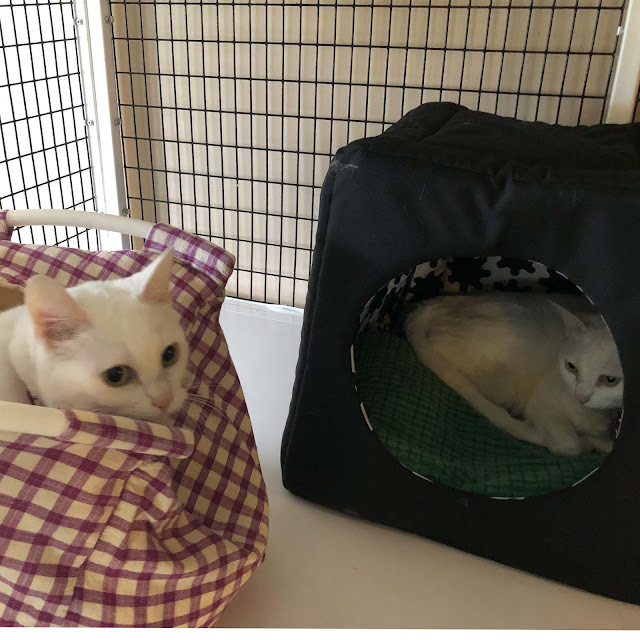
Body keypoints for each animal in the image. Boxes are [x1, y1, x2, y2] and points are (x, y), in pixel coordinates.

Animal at [404, 292, 623, 456]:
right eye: (571, 367)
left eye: (610, 380)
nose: (580, 397)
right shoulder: (542, 403)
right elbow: (569, 445)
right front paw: (587, 442)